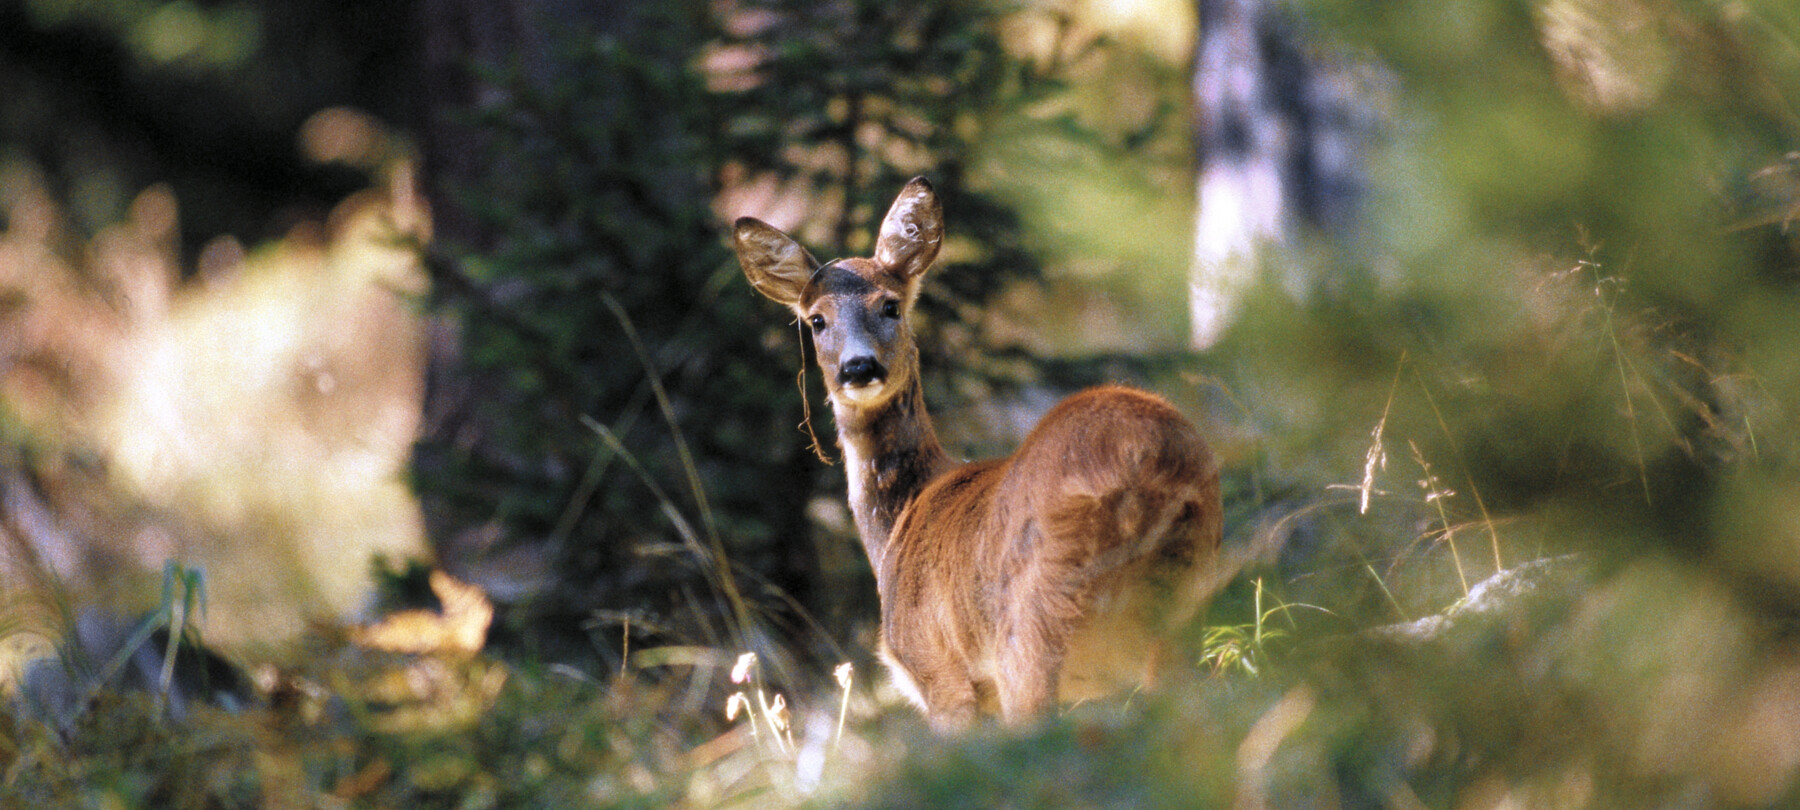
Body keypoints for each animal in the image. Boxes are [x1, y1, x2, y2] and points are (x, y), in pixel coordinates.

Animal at [734, 177, 1224, 727]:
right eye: (816, 320)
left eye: (890, 305)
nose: (859, 367)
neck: (901, 518)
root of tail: (1143, 459)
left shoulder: (938, 670)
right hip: (1188, 595)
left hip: (1030, 619)